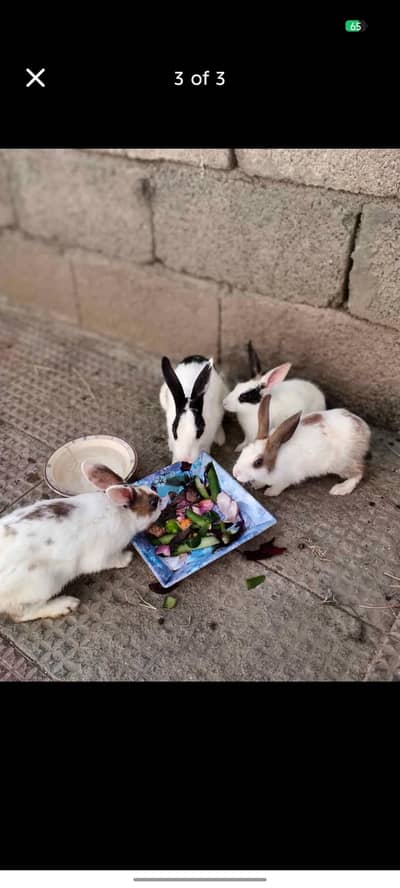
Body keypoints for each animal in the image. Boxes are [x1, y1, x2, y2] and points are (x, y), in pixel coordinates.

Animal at [0, 461, 162, 623]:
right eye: (153, 503)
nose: (160, 499)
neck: (121, 513)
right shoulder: (103, 556)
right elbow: (112, 561)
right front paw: (127, 558)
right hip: (43, 584)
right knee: (22, 614)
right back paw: (65, 605)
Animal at [233, 393, 371, 497]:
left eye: (258, 462)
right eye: (244, 451)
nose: (235, 473)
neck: (276, 460)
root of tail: (364, 429)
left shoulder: (289, 477)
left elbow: (279, 486)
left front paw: (270, 492)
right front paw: (257, 484)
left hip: (342, 463)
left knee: (359, 472)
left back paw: (341, 488)